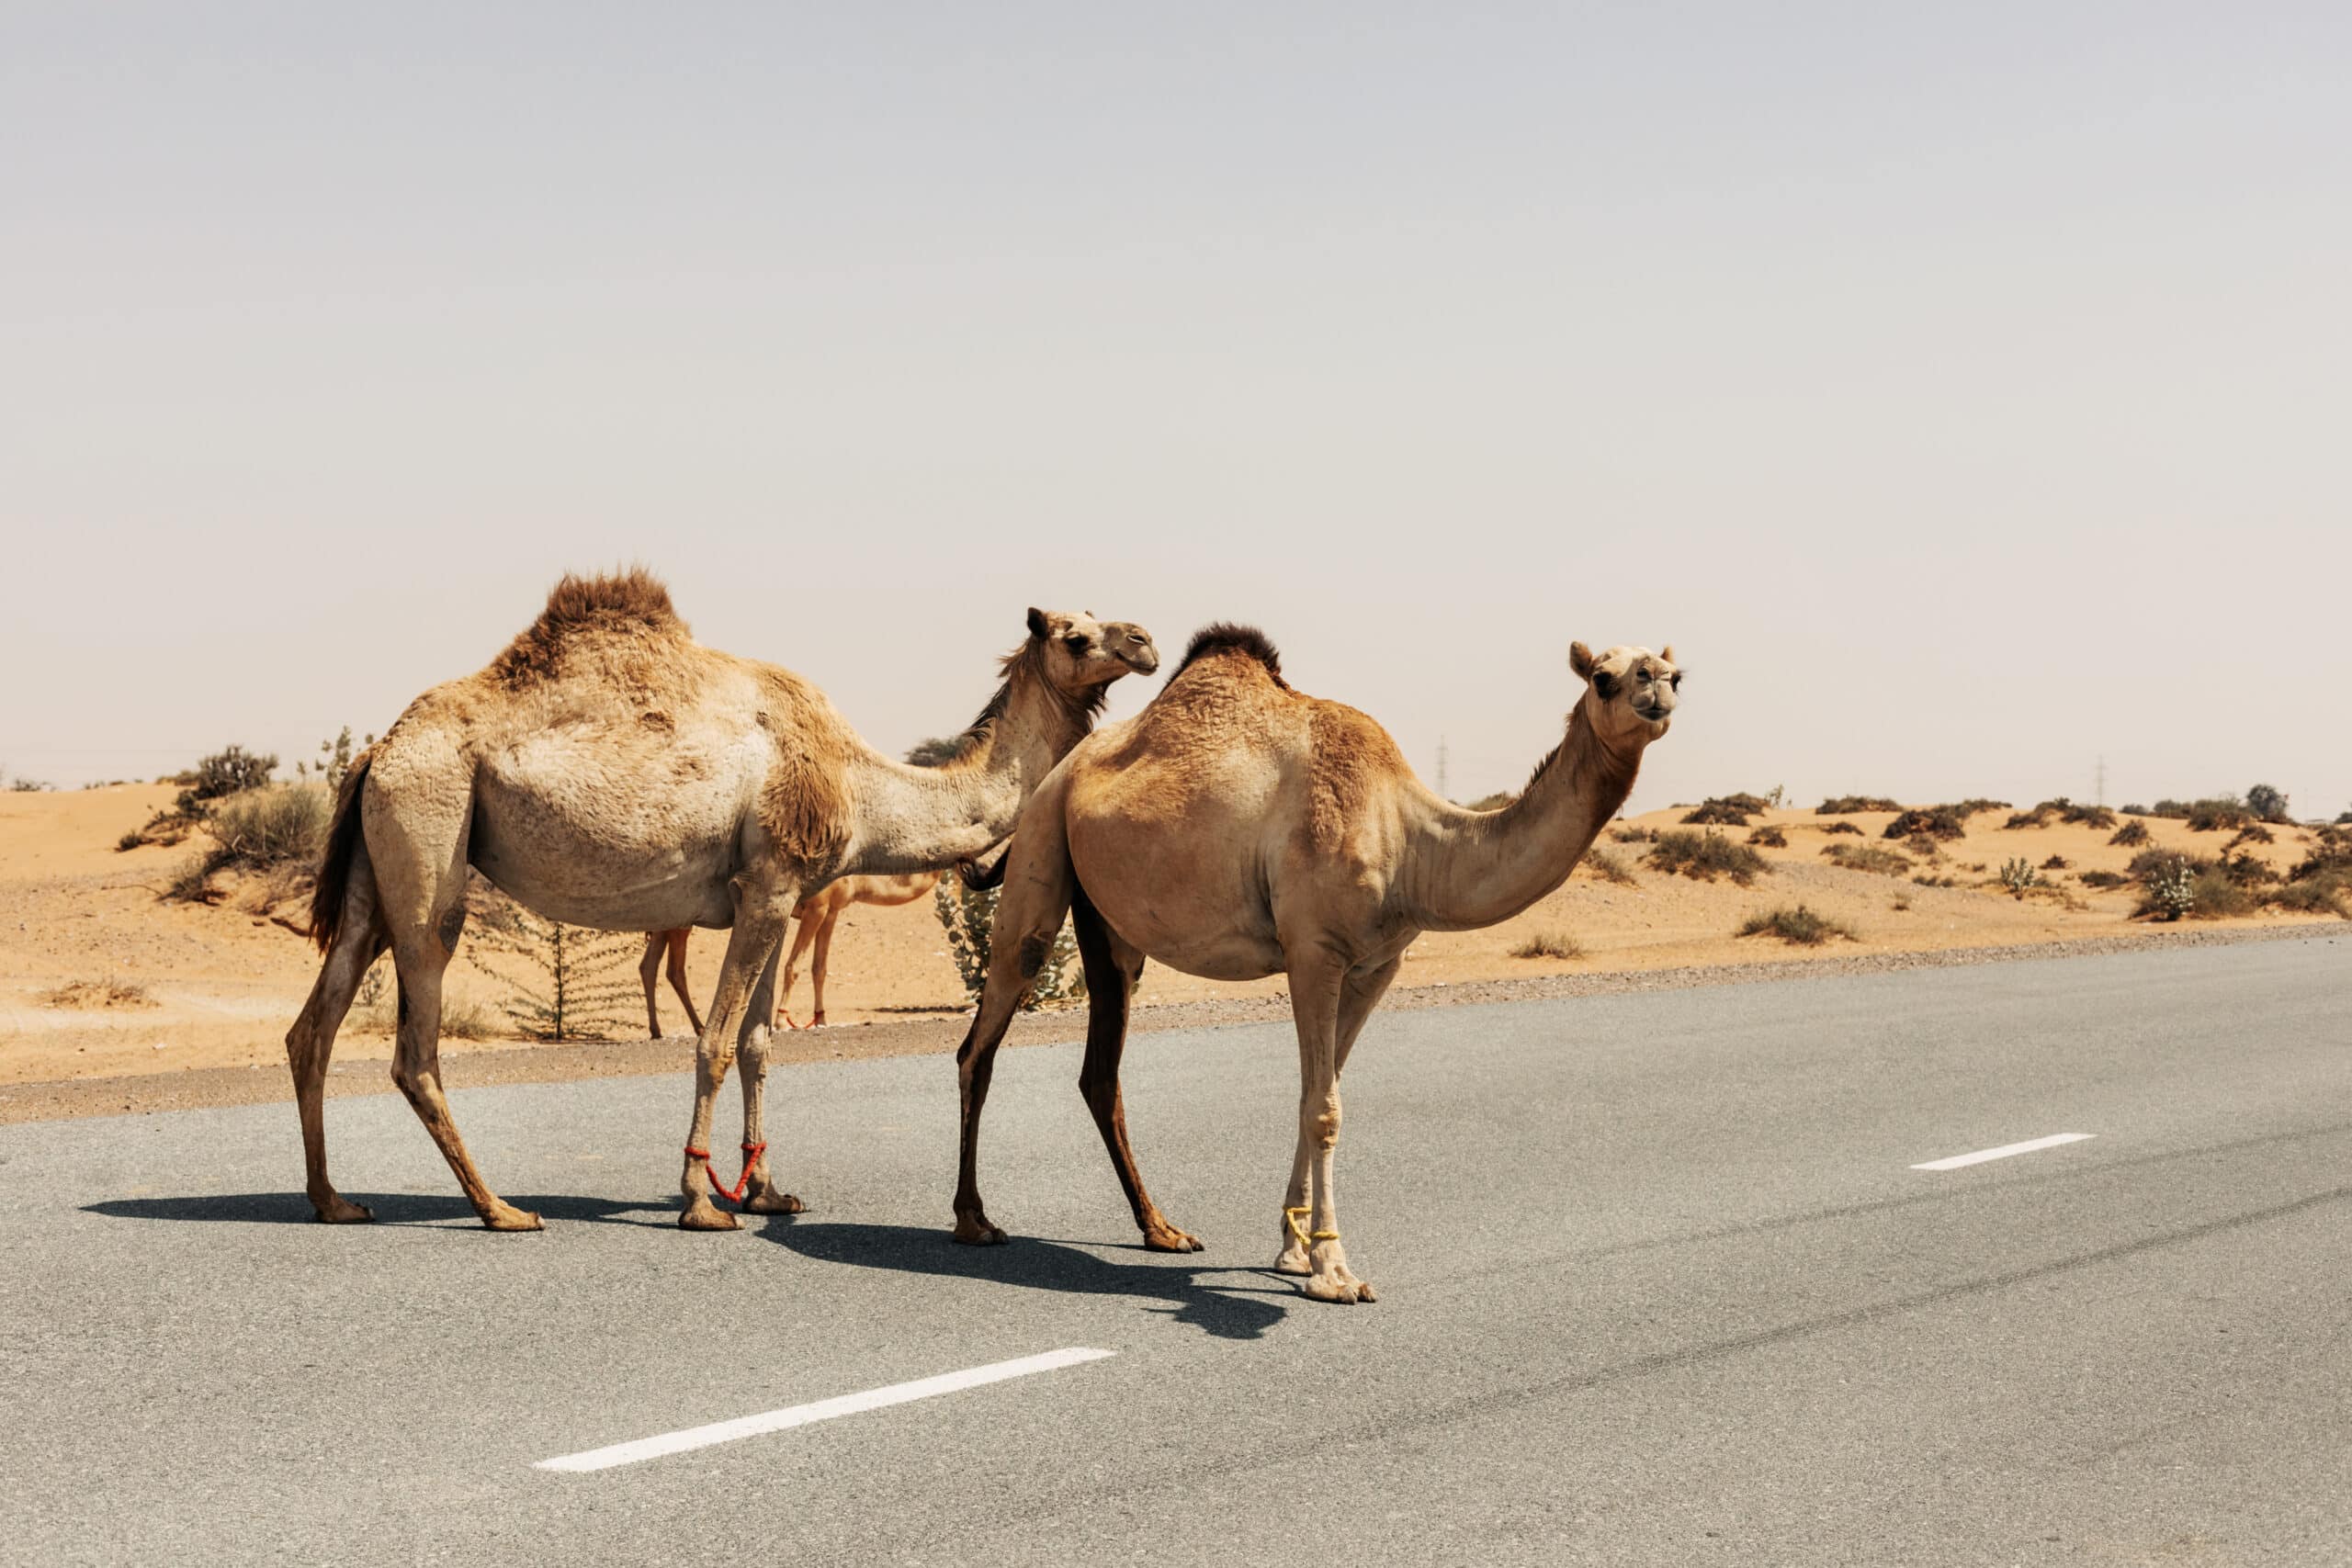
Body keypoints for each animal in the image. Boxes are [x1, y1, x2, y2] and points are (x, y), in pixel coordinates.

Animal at [636, 870, 941, 1036]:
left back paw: (658, 1030)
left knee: (650, 966)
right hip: (679, 922)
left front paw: (820, 1019)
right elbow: (793, 965)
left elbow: (820, 968)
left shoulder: (831, 912)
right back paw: (696, 1027)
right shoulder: (816, 909)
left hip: (666, 922)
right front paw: (782, 1019)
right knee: (673, 970)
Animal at [947, 625, 1679, 1302]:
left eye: (1676, 671)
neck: (1409, 838)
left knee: (1100, 1071)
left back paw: (1161, 1229)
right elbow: (1325, 1106)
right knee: (984, 1033)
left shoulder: (1378, 964)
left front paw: (1293, 1249)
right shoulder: (1313, 951)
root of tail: (1063, 770)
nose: (1657, 689)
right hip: (1043, 842)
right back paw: (974, 1221)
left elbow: (1317, 1089)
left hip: (1110, 924)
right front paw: (1334, 1270)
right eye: (1604, 678)